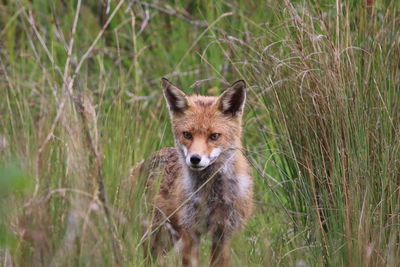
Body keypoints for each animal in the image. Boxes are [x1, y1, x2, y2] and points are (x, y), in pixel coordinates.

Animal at [134, 78, 253, 266]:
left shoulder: (224, 233)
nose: (195, 159)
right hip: (159, 235)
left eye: (214, 136)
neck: (211, 195)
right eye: (187, 135)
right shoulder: (190, 231)